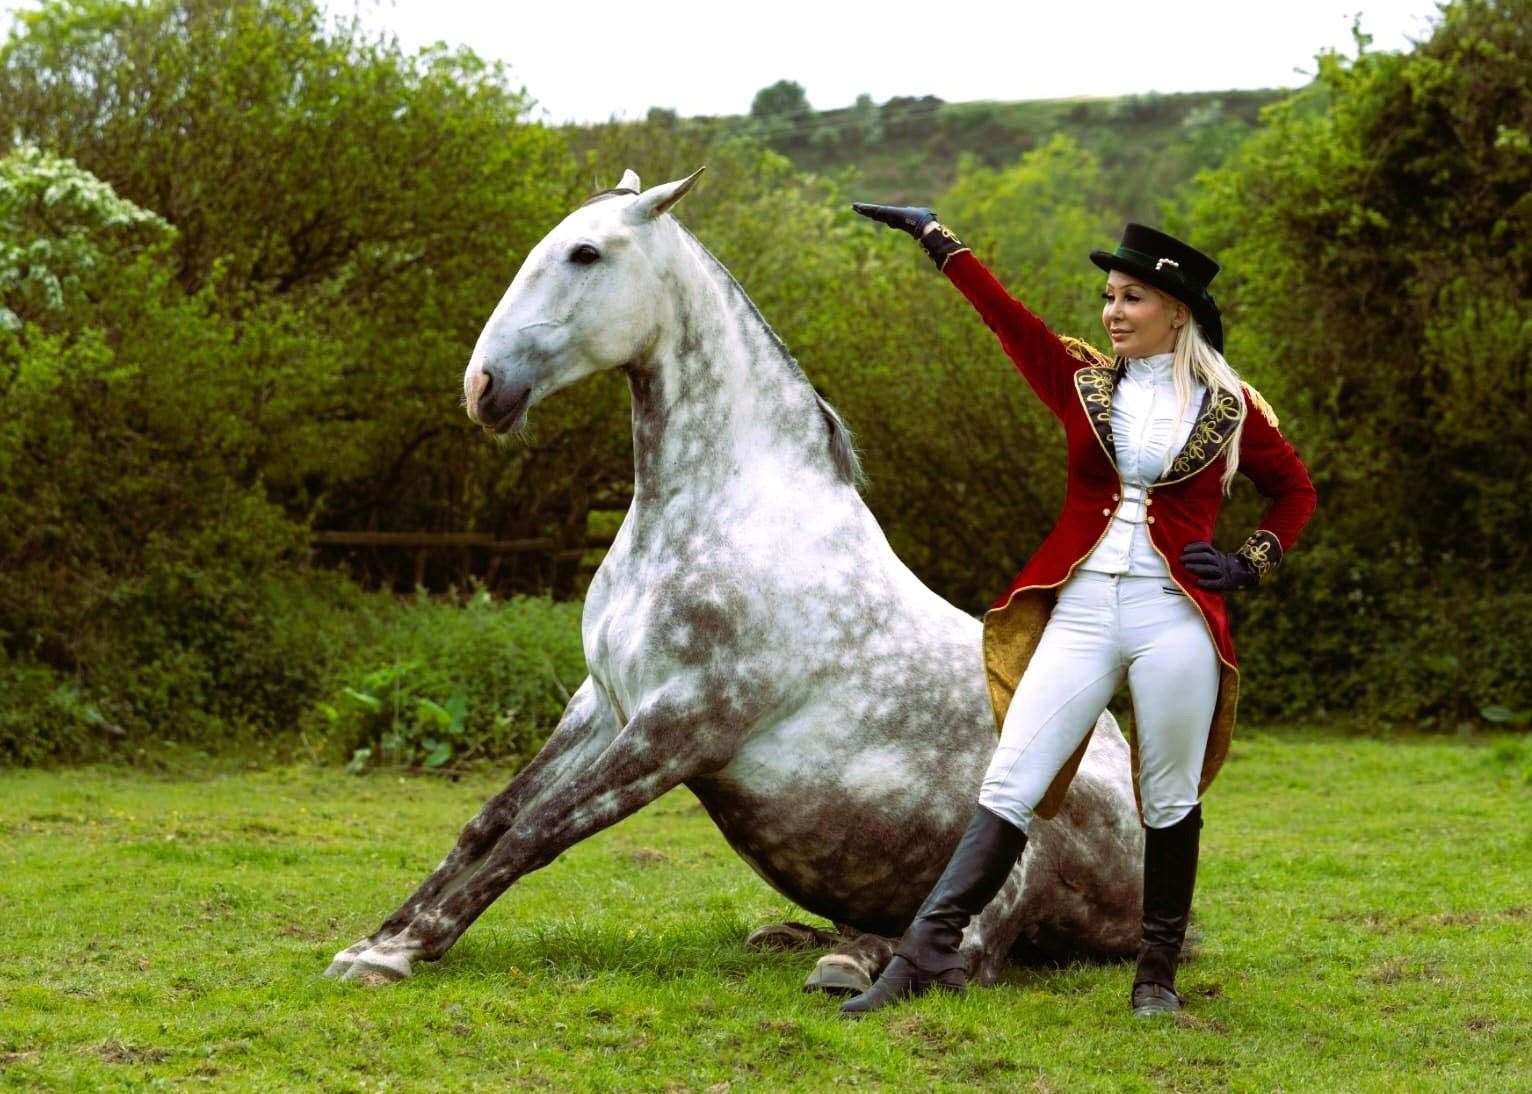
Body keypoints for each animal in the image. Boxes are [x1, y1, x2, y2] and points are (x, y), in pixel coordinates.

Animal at [326, 166, 1152, 992]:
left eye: (586, 253)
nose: (483, 386)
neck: (719, 511)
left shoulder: (680, 726)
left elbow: (537, 832)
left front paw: (404, 950)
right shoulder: (601, 703)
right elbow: (489, 820)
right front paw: (374, 940)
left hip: (1033, 820)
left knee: (979, 947)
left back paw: (854, 964)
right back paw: (801, 937)